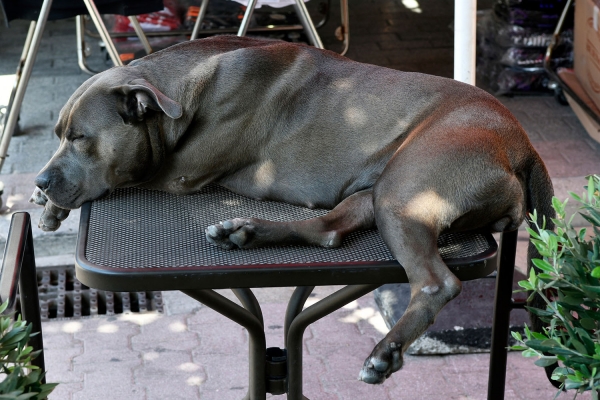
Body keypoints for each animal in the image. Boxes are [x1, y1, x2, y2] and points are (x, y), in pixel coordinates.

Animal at [34, 36, 552, 382]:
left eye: (80, 138)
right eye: (59, 134)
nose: (40, 180)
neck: (182, 91)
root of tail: (524, 144)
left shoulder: (176, 174)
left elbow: (123, 180)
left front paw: (49, 202)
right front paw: (44, 201)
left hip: (405, 191)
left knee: (436, 281)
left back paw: (385, 352)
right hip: (378, 188)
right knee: (329, 229)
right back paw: (246, 232)